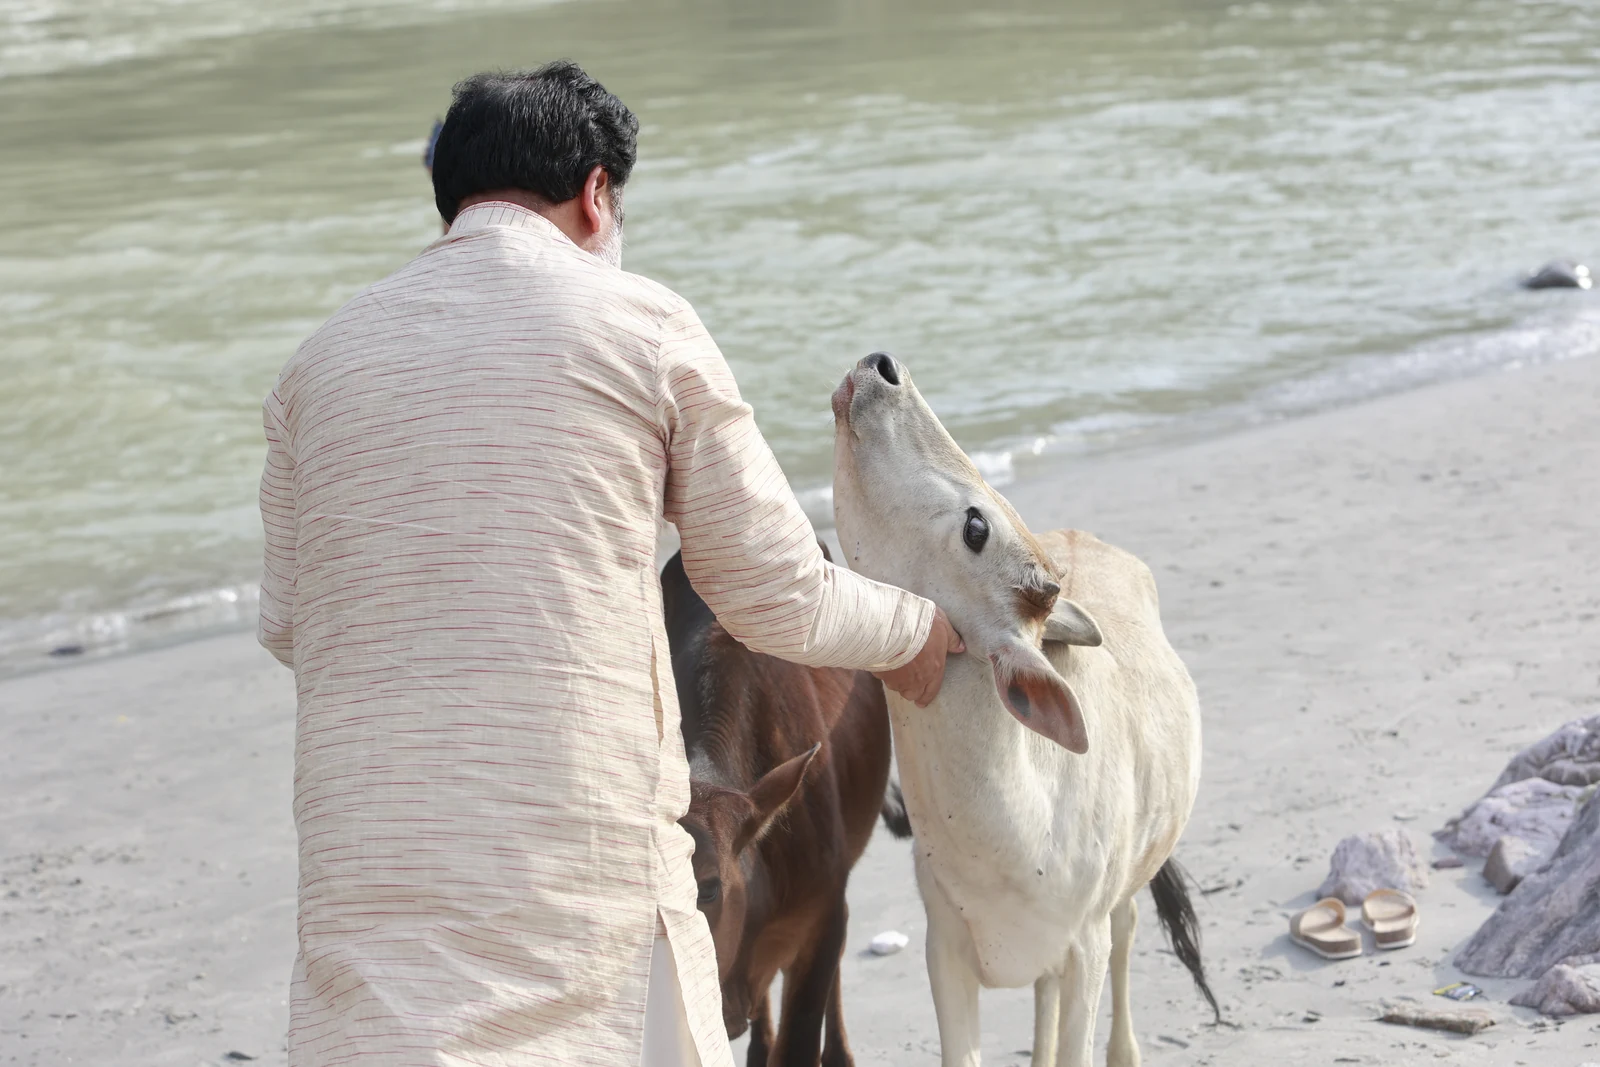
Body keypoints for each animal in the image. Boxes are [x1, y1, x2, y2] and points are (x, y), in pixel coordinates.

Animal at [828, 352, 1217, 1067]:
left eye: (976, 527)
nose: (883, 365)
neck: (1012, 833)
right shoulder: (945, 949)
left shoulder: (1085, 945)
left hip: (1121, 901)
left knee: (1127, 938)